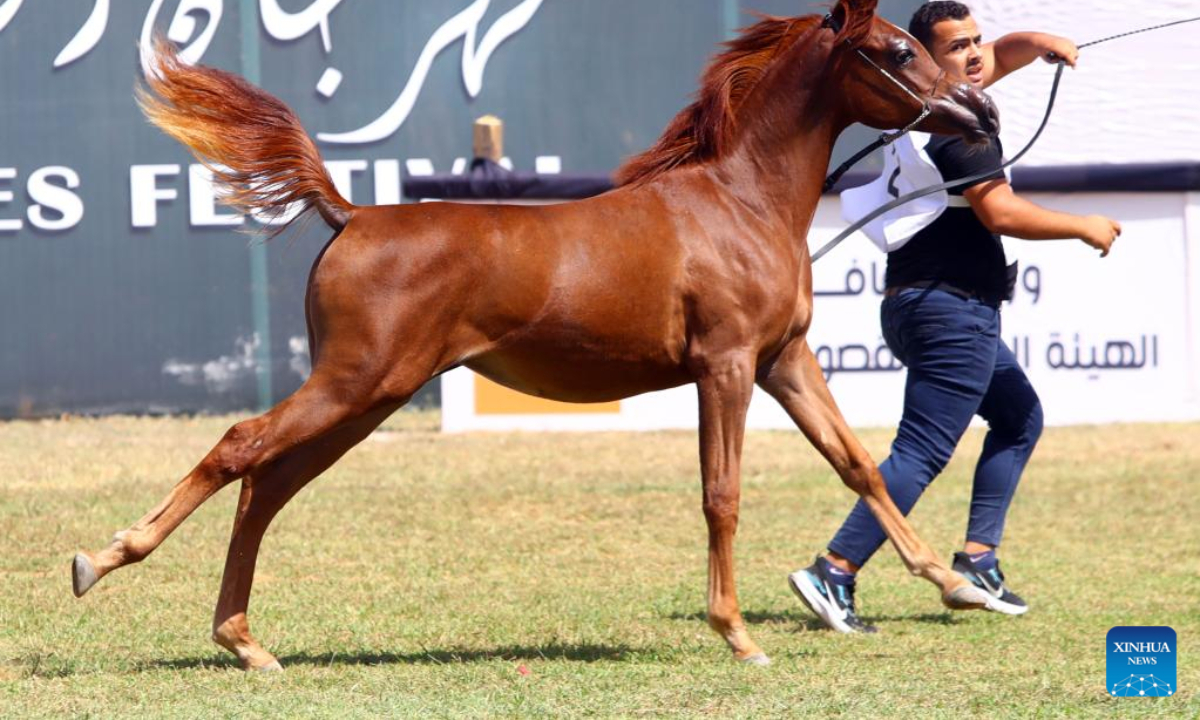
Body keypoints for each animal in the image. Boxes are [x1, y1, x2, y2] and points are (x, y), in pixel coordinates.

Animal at [70, 2, 998, 672]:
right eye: (897, 51)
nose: (981, 112)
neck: (739, 202)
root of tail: (351, 212)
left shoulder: (784, 361)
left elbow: (859, 463)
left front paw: (955, 584)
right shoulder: (727, 366)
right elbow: (722, 495)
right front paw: (737, 635)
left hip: (368, 400)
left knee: (267, 484)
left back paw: (246, 643)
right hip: (354, 383)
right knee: (240, 446)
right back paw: (103, 560)